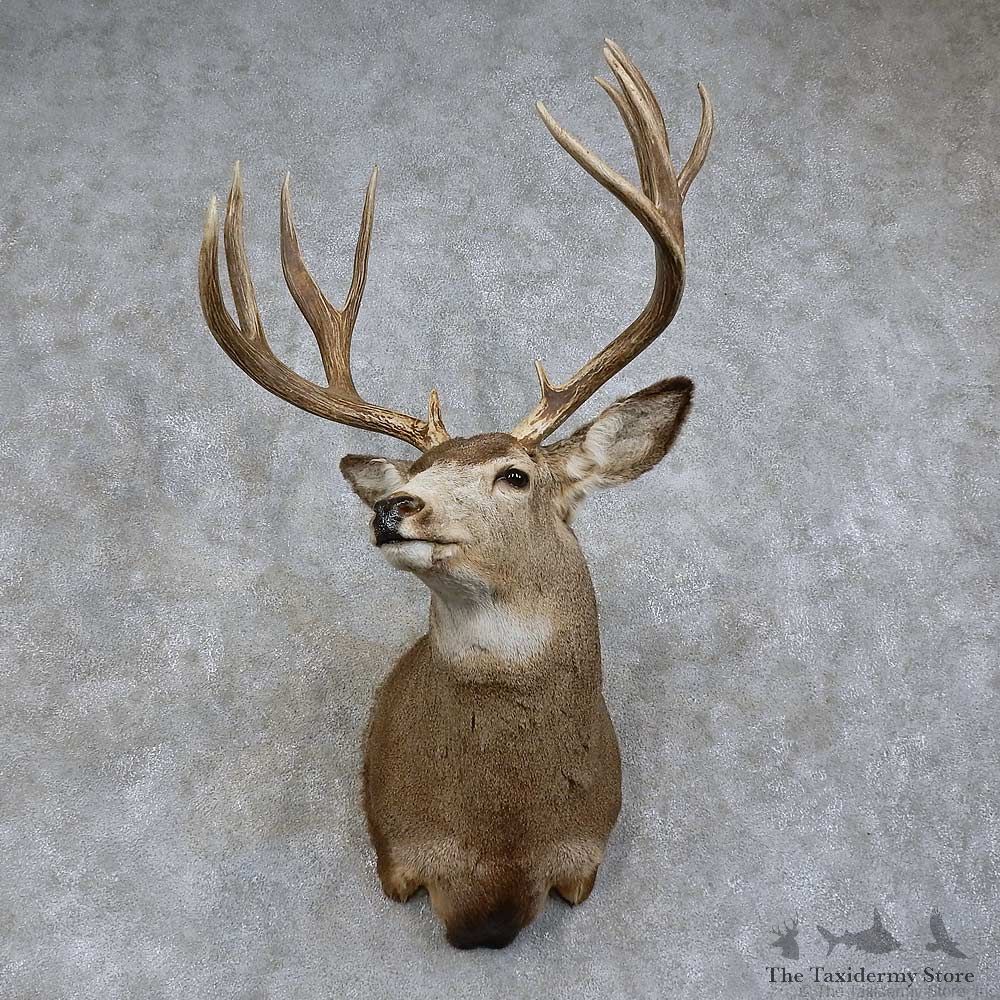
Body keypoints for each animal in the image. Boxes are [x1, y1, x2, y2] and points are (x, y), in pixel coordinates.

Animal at [197, 40, 713, 950]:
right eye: (410, 475)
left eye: (517, 474)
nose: (391, 508)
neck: (498, 838)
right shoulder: (400, 850)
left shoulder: (584, 856)